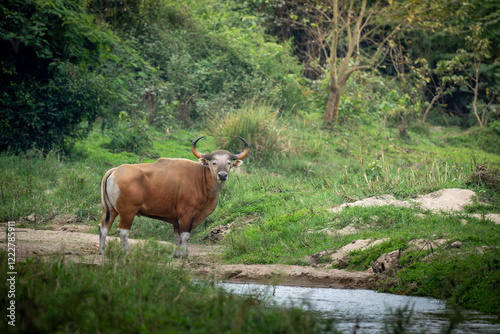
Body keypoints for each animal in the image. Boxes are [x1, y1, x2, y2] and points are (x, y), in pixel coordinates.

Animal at [97, 136, 248, 258]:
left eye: (229, 162)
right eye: (213, 162)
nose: (222, 175)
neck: (201, 179)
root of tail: (114, 170)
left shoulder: (176, 219)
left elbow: (177, 237)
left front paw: (176, 254)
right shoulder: (187, 214)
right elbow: (185, 236)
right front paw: (186, 255)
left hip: (110, 210)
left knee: (103, 227)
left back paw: (102, 251)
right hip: (128, 211)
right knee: (122, 231)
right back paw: (127, 253)